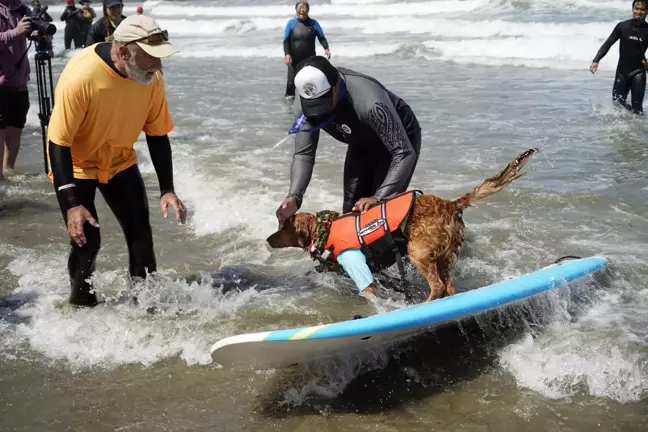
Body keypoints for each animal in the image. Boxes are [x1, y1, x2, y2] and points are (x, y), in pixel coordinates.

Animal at [266, 150, 540, 302]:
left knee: (438, 285)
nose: (268, 239)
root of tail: (451, 205)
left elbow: (368, 289)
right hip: (443, 256)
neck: (327, 228)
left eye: (282, 228)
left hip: (418, 251)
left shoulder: (357, 265)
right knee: (450, 286)